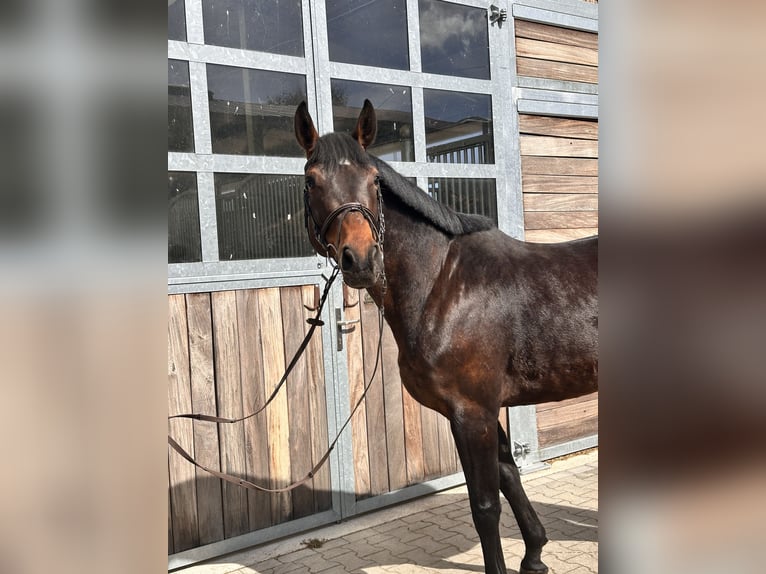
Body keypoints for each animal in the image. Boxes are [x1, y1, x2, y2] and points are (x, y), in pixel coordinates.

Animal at [294, 100, 598, 574]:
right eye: (312, 181)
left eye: (374, 180)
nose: (361, 260)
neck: (443, 283)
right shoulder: (480, 409)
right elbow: (509, 475)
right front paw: (534, 555)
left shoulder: (471, 411)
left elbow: (485, 505)